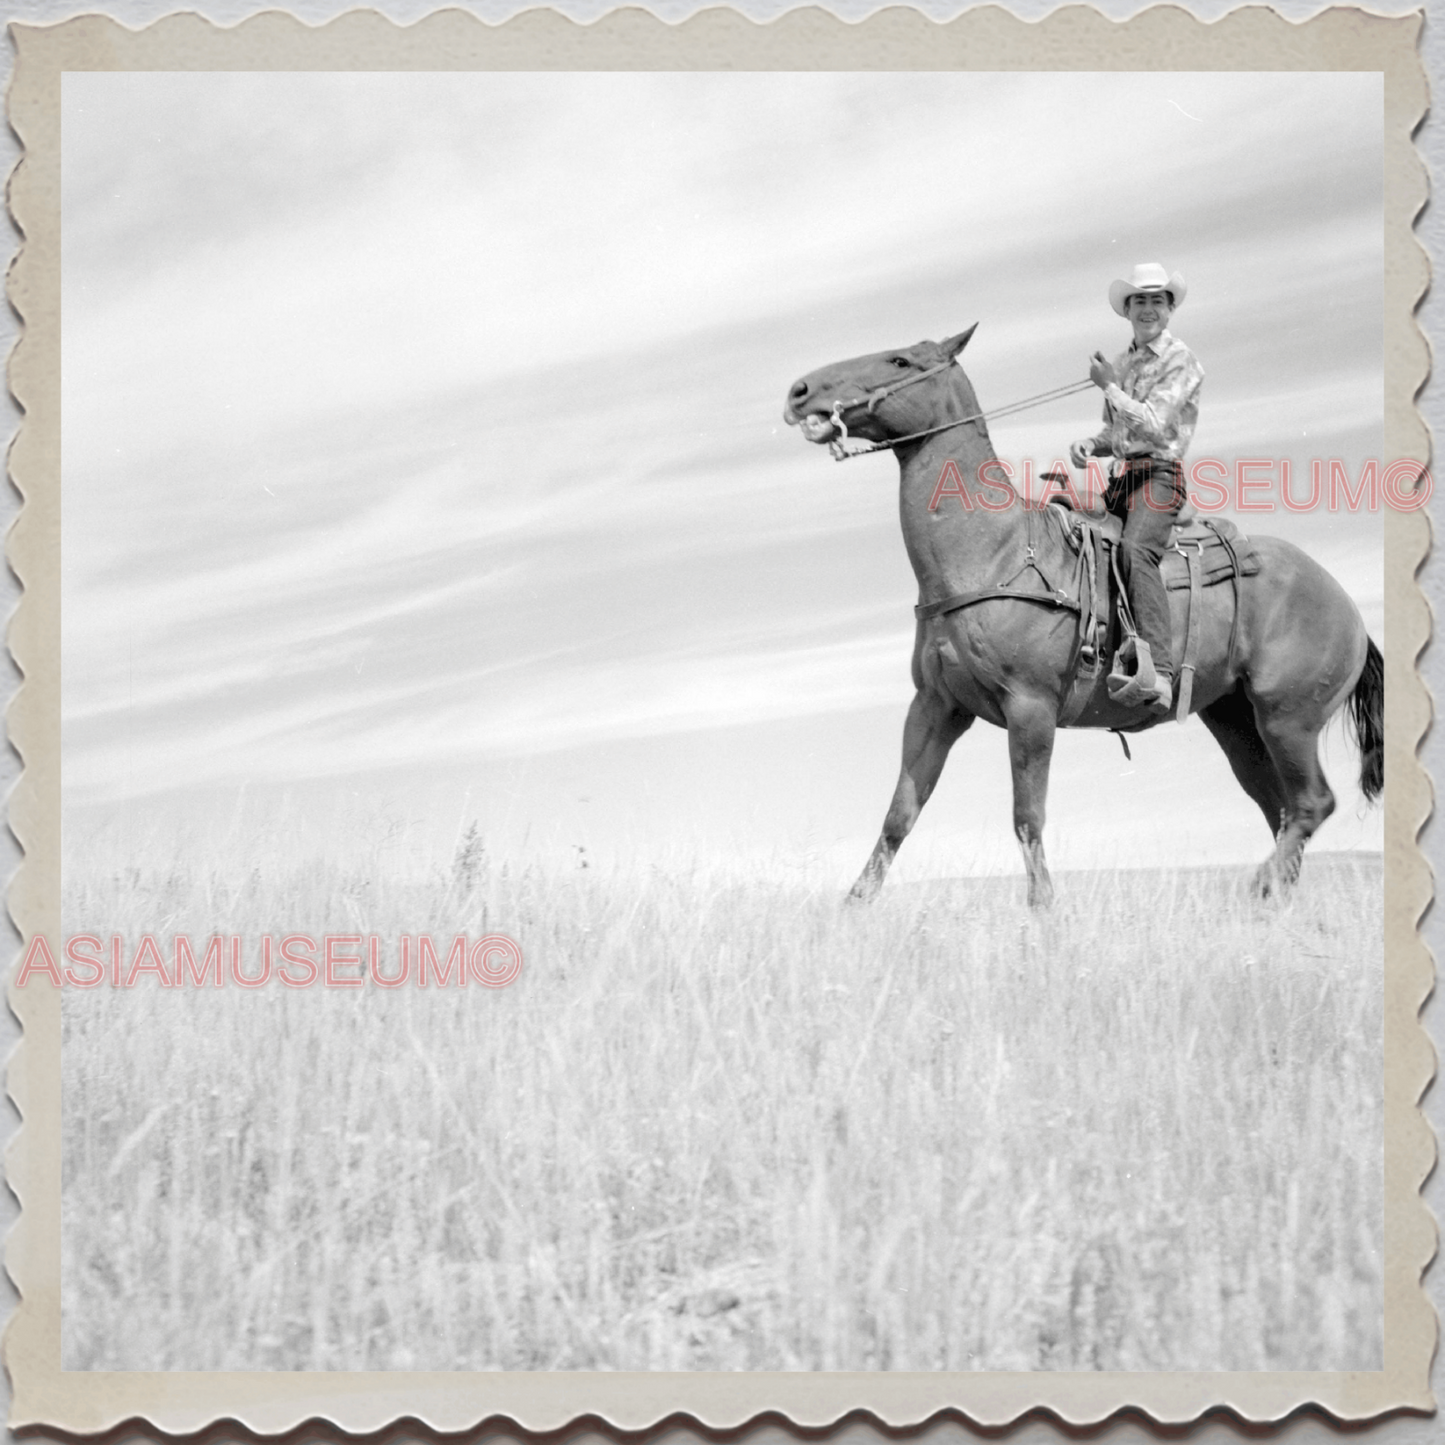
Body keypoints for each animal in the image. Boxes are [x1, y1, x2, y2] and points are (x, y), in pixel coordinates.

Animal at [786, 328, 1381, 901]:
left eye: (900, 361)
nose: (799, 392)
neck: (997, 552)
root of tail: (1348, 609)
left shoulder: (1030, 708)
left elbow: (1027, 819)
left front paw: (1043, 912)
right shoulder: (935, 706)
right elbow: (899, 815)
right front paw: (853, 908)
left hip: (1288, 719)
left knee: (1311, 803)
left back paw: (1262, 885)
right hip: (1234, 721)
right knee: (1278, 808)